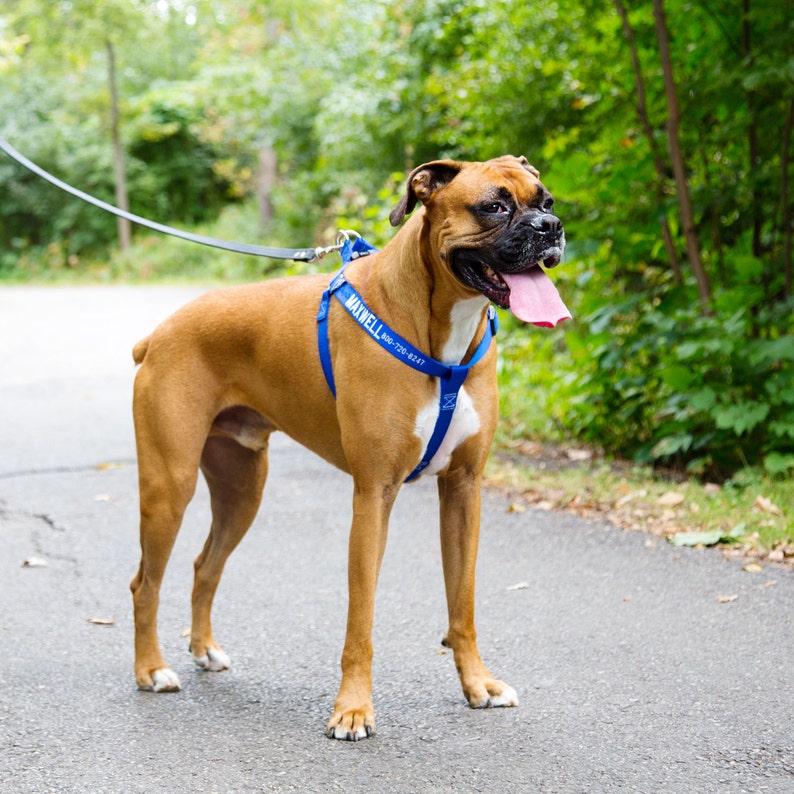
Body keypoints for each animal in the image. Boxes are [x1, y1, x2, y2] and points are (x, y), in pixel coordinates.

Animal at [130, 155, 568, 736]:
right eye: (494, 206)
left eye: (546, 201)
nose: (551, 228)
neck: (440, 329)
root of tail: (157, 333)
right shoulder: (373, 494)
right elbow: (360, 618)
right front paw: (353, 708)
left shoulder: (463, 491)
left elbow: (463, 604)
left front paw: (478, 684)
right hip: (169, 488)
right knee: (145, 583)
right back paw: (151, 670)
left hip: (242, 491)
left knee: (206, 565)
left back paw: (204, 650)